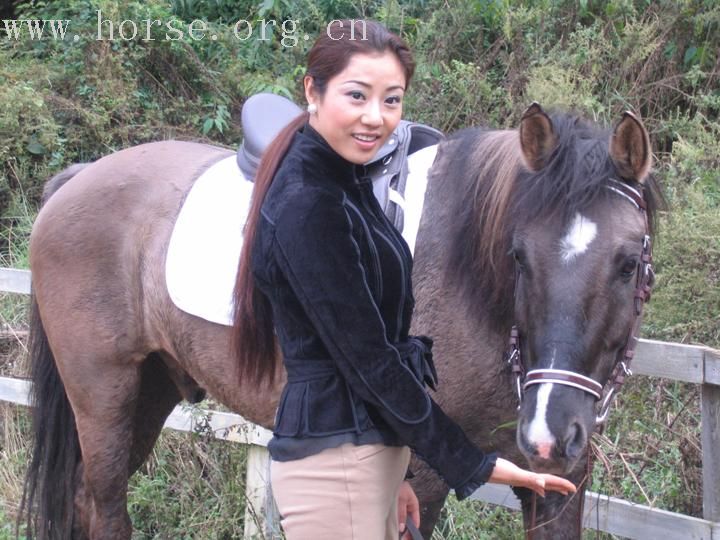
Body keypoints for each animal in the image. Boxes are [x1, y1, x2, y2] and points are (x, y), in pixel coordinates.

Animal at [18, 102, 660, 540]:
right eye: (519, 256)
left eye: (629, 263)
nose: (550, 430)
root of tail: (76, 179)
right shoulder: (422, 482)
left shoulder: (555, 486)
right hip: (103, 397)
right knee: (104, 507)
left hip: (148, 393)